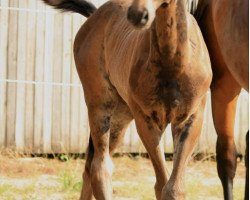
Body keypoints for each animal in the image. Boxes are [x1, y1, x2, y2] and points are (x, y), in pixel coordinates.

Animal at [42, 0, 211, 198]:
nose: (137, 15)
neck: (173, 64)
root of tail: (93, 16)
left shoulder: (191, 119)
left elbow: (174, 188)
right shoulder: (146, 120)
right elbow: (162, 184)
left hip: (120, 117)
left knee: (90, 165)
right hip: (100, 104)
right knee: (100, 167)